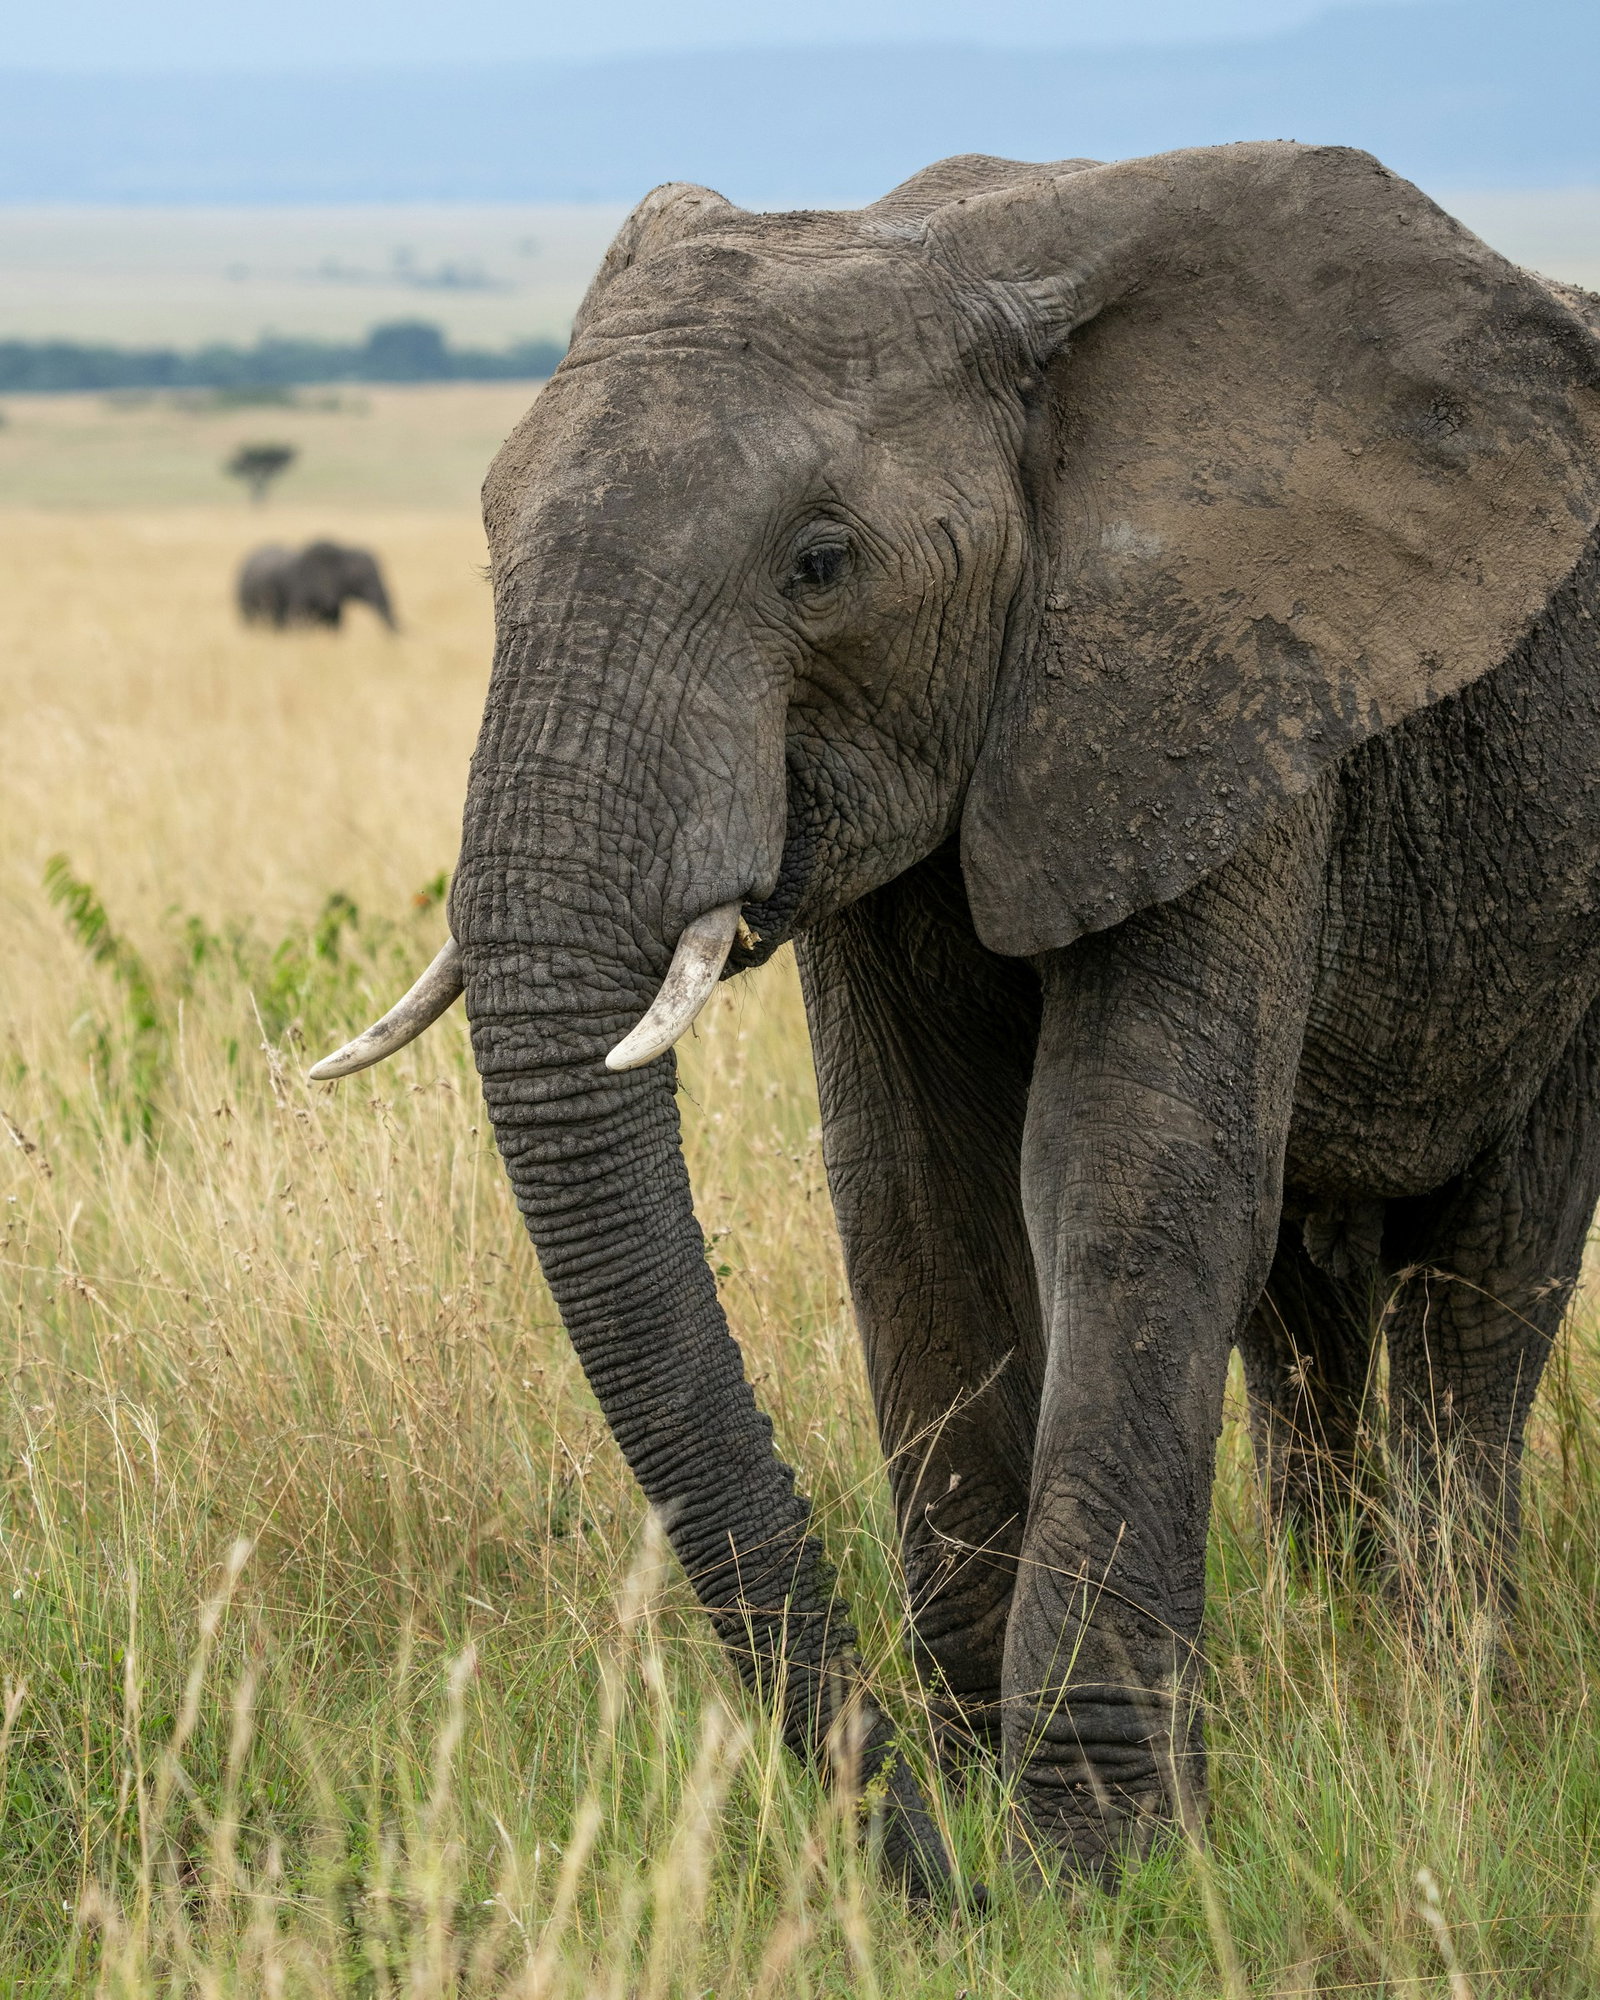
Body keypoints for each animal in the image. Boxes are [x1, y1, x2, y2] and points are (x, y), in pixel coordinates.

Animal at [307, 143, 1600, 1888]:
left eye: (820, 562)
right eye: (492, 537)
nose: (910, 1855)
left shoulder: (1218, 680)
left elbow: (1127, 1175)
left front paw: (1099, 1860)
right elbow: (918, 1191)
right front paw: (1000, 1801)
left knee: (1483, 1288)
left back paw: (1446, 1704)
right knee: (1302, 1310)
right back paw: (1337, 1661)